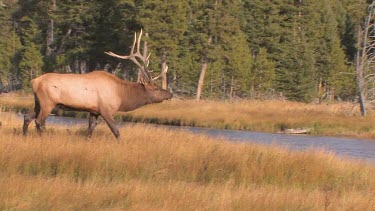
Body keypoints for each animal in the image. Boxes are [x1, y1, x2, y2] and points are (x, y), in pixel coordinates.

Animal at [24, 29, 174, 138]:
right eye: (155, 87)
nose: (170, 94)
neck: (122, 96)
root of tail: (34, 81)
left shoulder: (93, 111)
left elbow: (90, 130)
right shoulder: (106, 110)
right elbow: (116, 132)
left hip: (38, 102)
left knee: (27, 116)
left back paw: (25, 136)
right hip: (48, 102)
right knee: (39, 121)